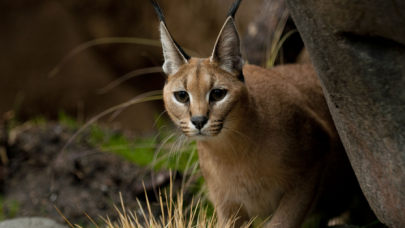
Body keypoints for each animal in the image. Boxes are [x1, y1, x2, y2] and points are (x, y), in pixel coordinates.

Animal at [150, 0, 362, 227]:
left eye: (217, 94)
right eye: (182, 96)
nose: (198, 121)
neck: (230, 153)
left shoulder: (313, 158)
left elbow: (282, 222)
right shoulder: (227, 205)